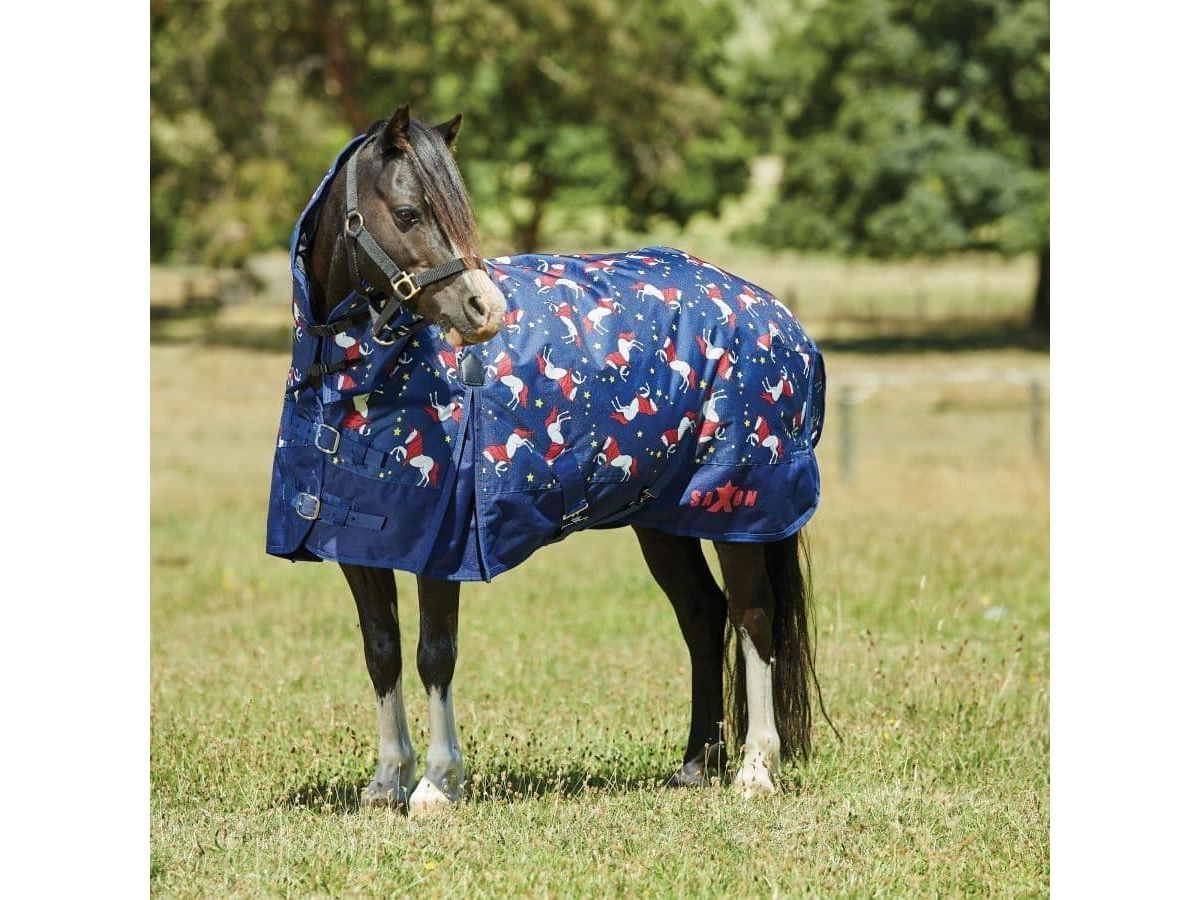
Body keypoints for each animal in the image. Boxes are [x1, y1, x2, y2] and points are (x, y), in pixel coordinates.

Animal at [269, 104, 829, 816]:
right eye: (408, 212)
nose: (483, 310)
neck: (361, 382)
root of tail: (778, 318)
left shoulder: (442, 546)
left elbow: (434, 653)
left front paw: (435, 783)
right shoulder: (362, 543)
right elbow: (382, 651)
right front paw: (385, 780)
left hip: (740, 512)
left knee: (754, 618)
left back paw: (755, 768)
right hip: (665, 521)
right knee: (703, 616)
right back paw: (695, 764)